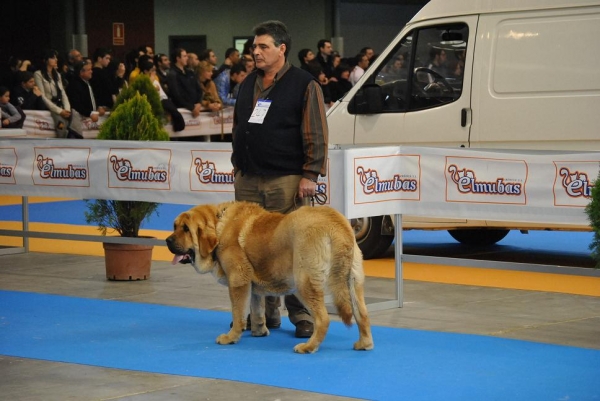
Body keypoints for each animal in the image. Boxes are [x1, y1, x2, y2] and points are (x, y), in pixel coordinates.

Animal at [166, 200, 372, 354]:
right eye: (175, 226)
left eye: (186, 229)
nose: (168, 240)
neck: (218, 226)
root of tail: (335, 222)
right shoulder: (252, 287)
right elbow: (256, 310)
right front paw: (259, 331)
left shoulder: (238, 280)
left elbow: (238, 313)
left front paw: (231, 337)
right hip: (353, 281)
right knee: (362, 314)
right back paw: (364, 344)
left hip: (304, 283)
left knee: (323, 319)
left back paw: (308, 347)